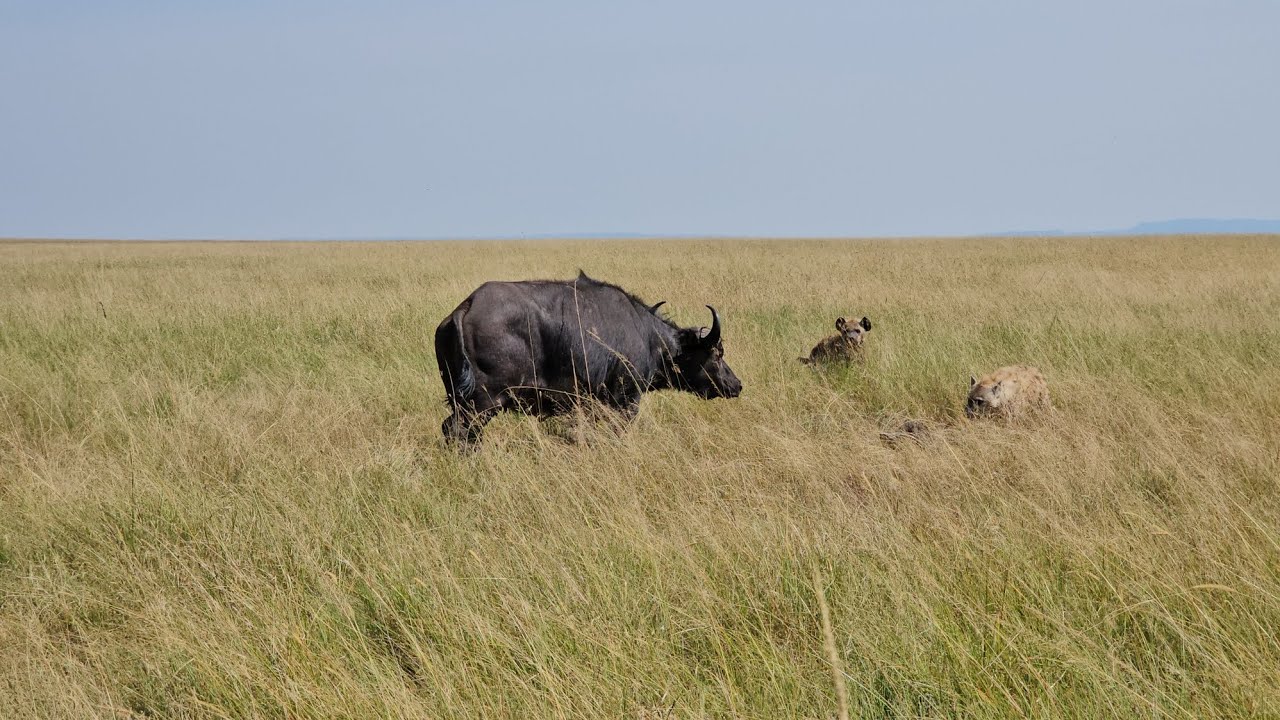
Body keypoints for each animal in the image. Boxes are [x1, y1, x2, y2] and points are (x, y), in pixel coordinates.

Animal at [434, 272, 743, 446]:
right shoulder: (626, 402)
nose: (737, 385)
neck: (648, 337)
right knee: (459, 432)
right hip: (483, 403)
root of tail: (466, 306)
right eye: (717, 353)